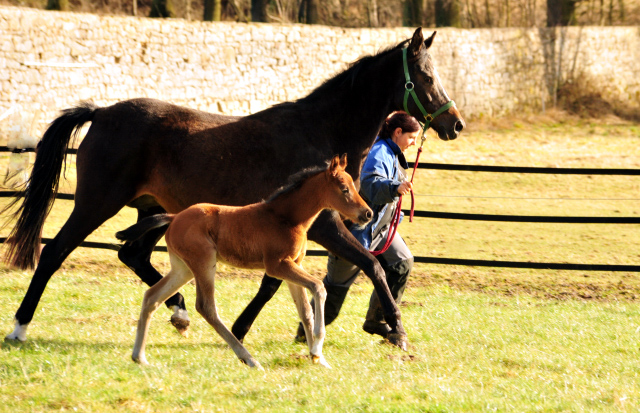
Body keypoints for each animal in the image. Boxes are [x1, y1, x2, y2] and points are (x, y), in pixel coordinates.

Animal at [117, 154, 372, 366]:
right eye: (344, 189)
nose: (367, 214)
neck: (286, 218)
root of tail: (174, 216)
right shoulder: (278, 265)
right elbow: (319, 287)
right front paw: (318, 345)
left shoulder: (294, 265)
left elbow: (305, 312)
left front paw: (318, 358)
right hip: (204, 263)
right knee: (206, 307)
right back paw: (248, 358)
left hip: (183, 268)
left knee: (152, 297)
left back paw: (139, 357)